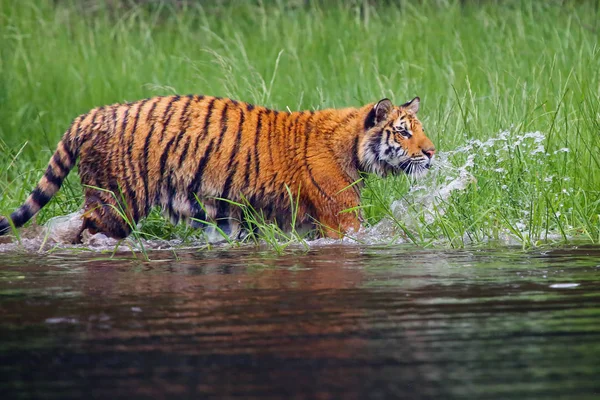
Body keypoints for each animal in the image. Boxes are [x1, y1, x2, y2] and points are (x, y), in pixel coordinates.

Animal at [0, 95, 436, 242]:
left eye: (420, 129)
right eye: (403, 132)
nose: (432, 153)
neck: (351, 145)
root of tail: (90, 115)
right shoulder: (341, 221)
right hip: (118, 202)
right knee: (89, 230)